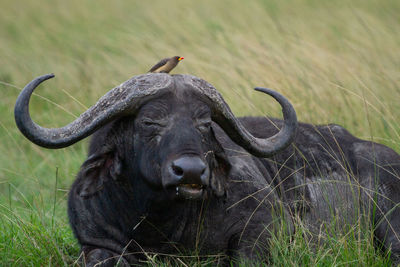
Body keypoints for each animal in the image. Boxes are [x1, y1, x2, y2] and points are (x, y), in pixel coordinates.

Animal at [14, 73, 398, 266]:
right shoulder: (94, 241)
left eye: (203, 124)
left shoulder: (265, 228)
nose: (190, 172)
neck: (161, 223)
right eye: (149, 121)